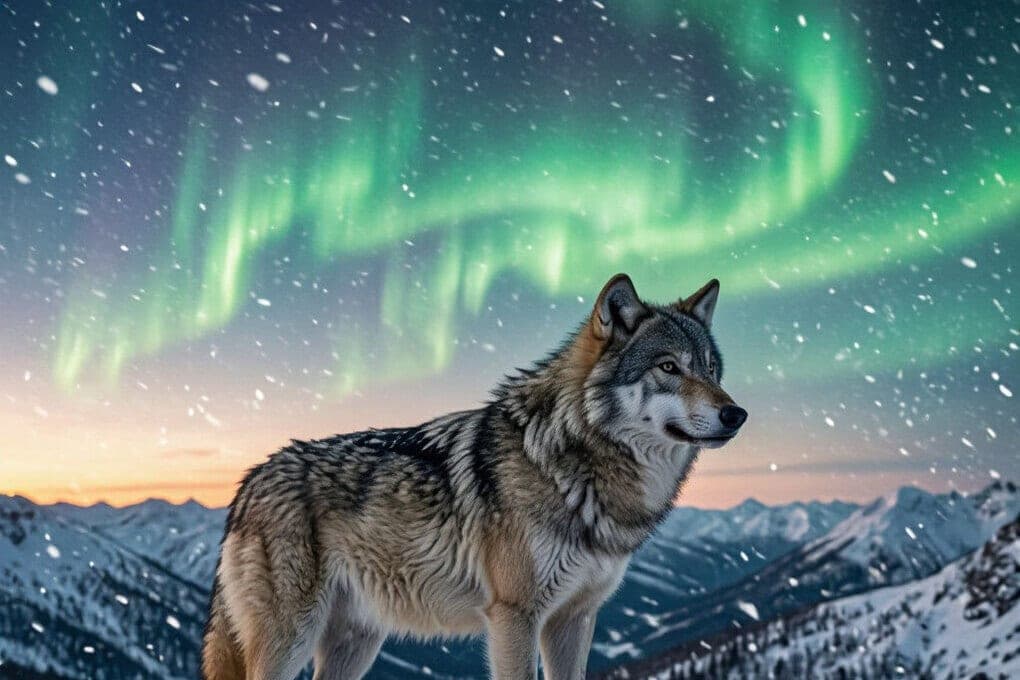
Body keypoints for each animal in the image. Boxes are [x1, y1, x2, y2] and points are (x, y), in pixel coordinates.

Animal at [202, 274, 747, 680]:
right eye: (668, 367)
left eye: (712, 369)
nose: (737, 414)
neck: (575, 465)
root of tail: (249, 481)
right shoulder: (514, 615)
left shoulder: (575, 619)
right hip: (290, 639)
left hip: (355, 643)